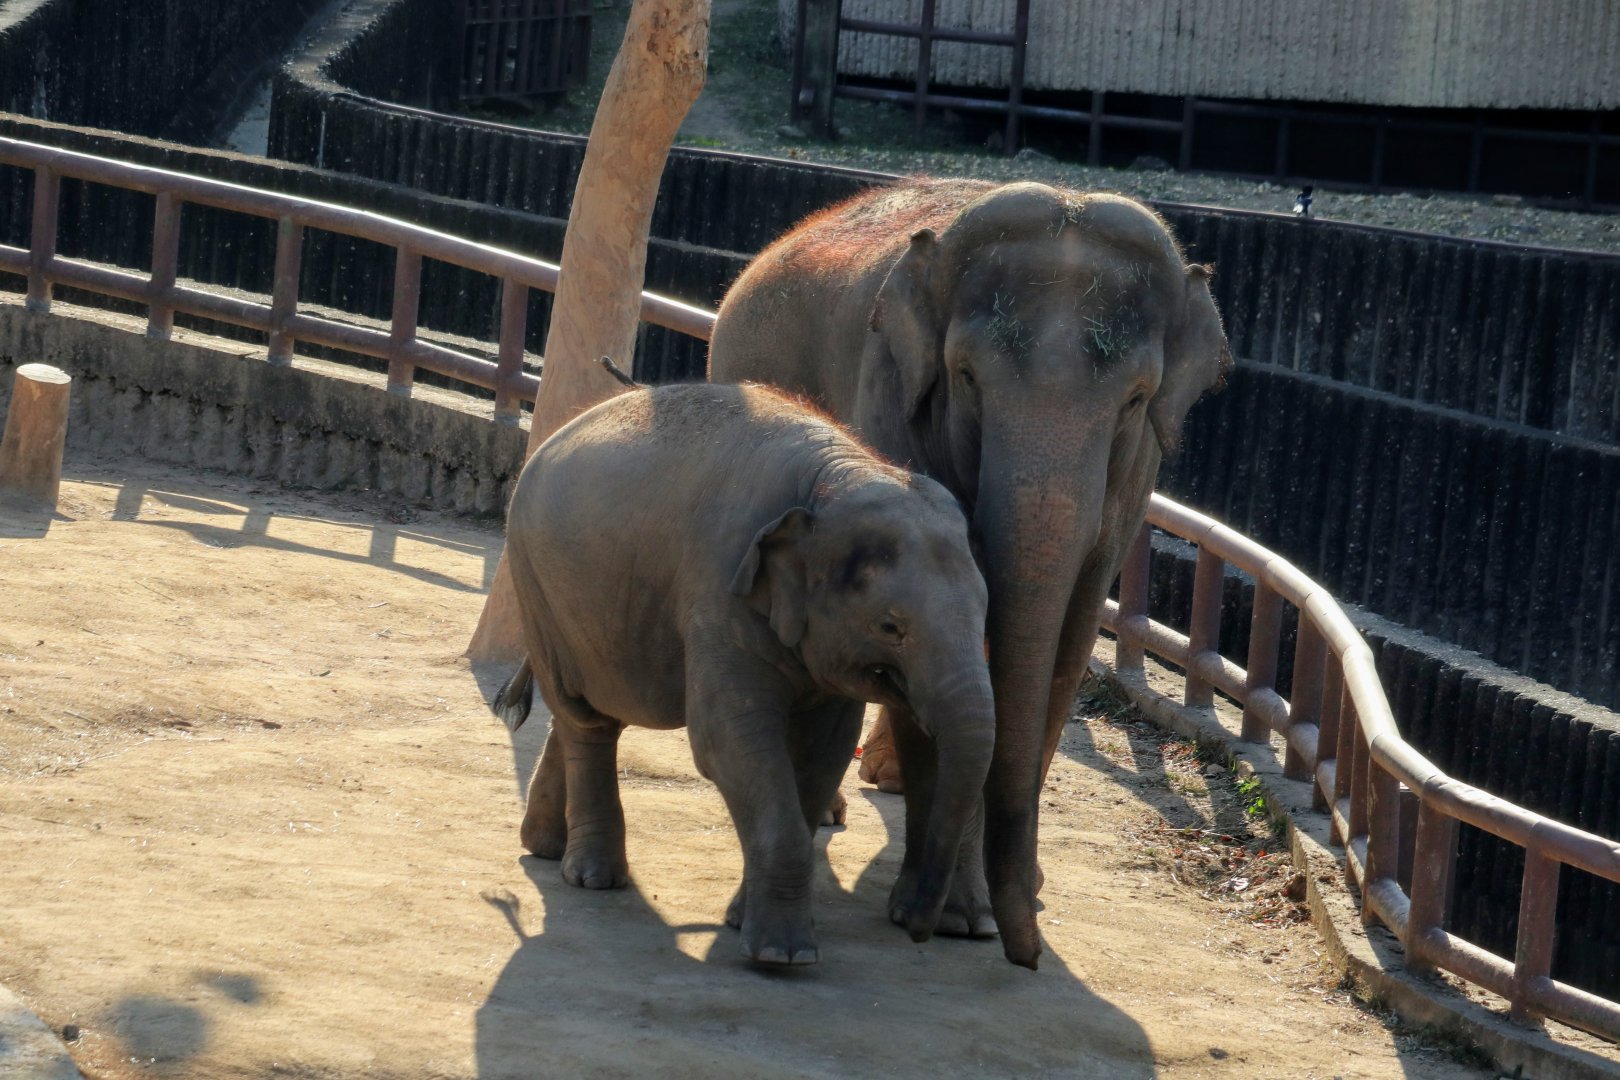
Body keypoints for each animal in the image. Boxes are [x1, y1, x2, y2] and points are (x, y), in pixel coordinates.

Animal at [494, 382, 996, 965]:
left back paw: (546, 848)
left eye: (985, 610)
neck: (834, 479)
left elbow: (823, 750)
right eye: (890, 626)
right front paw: (783, 956)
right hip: (532, 581)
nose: (916, 929)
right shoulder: (720, 590)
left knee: (601, 707)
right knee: (584, 718)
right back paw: (593, 877)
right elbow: (729, 741)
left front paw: (742, 922)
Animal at [708, 178, 1232, 968]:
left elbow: (1070, 640)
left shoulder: (1136, 473)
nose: (1028, 956)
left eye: (1137, 398)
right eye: (965, 376)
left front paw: (1009, 898)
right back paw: (839, 810)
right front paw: (957, 916)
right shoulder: (891, 393)